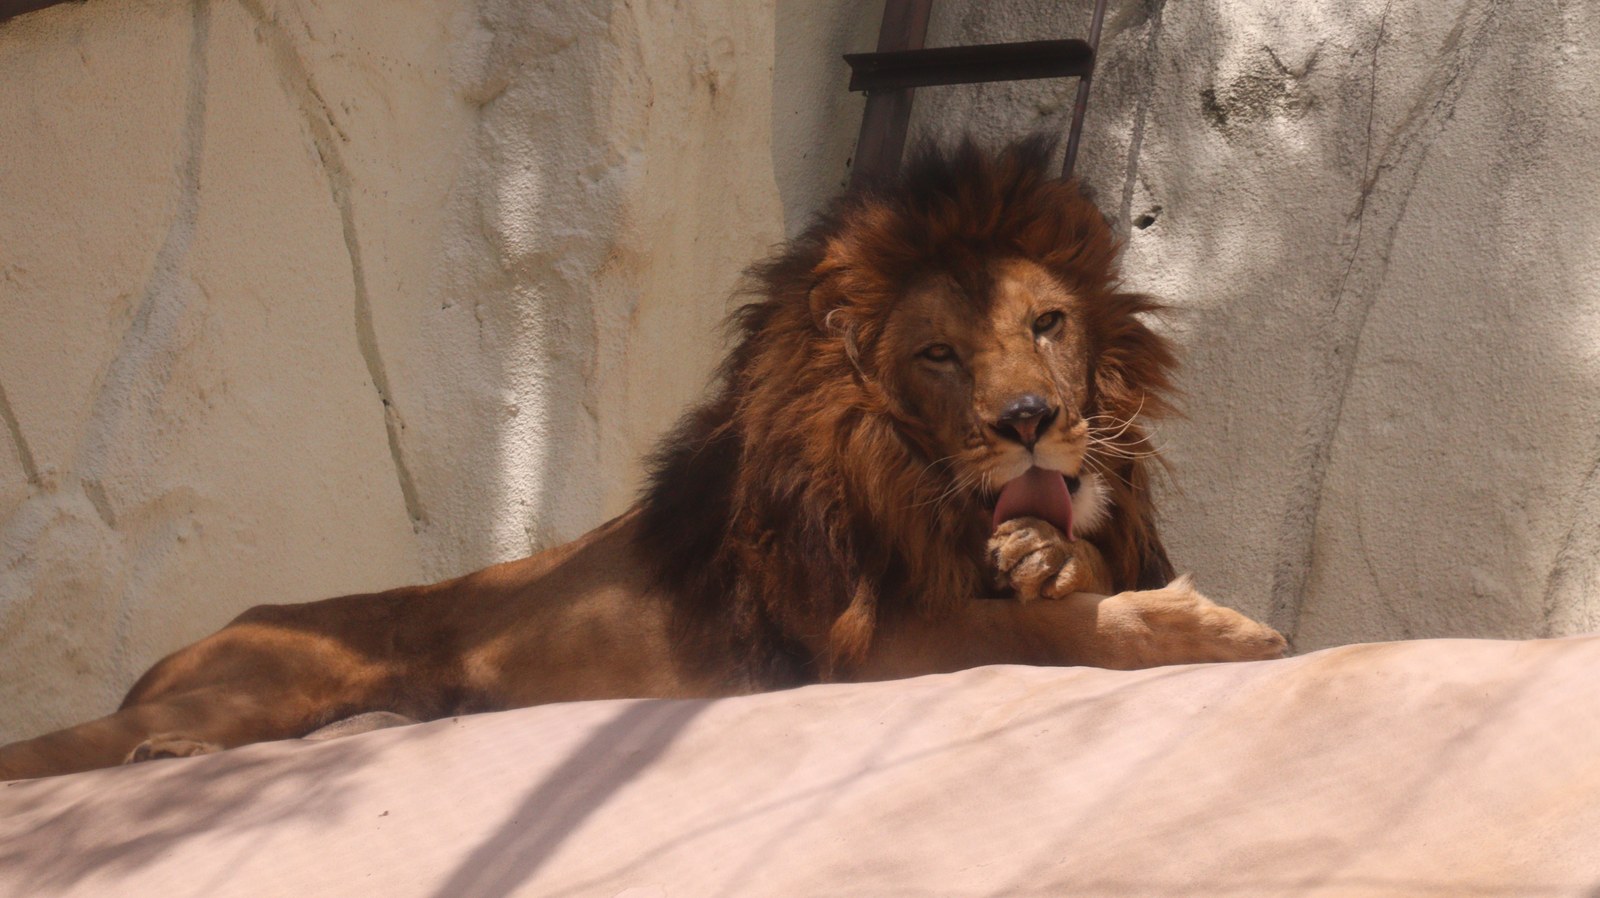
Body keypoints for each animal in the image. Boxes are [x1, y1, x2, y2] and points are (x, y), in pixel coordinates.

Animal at [0, 137, 1284, 781]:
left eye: (1048, 324)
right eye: (936, 353)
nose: (1029, 417)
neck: (913, 488)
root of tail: (172, 659)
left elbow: (1061, 581)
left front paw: (1053, 555)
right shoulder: (861, 652)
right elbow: (1053, 633)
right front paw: (1214, 627)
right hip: (262, 679)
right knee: (60, 749)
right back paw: (158, 749)